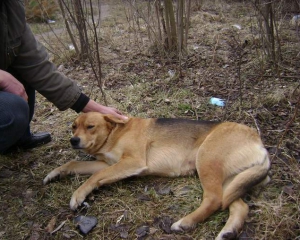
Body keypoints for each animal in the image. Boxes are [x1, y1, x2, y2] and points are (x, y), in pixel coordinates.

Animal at [43, 112, 270, 240]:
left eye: (90, 126)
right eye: (74, 127)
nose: (73, 140)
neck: (114, 133)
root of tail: (257, 140)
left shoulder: (132, 162)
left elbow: (95, 178)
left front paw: (78, 195)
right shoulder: (107, 163)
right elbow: (74, 164)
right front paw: (55, 174)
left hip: (206, 161)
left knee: (213, 199)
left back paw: (185, 223)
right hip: (230, 181)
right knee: (238, 206)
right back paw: (228, 231)